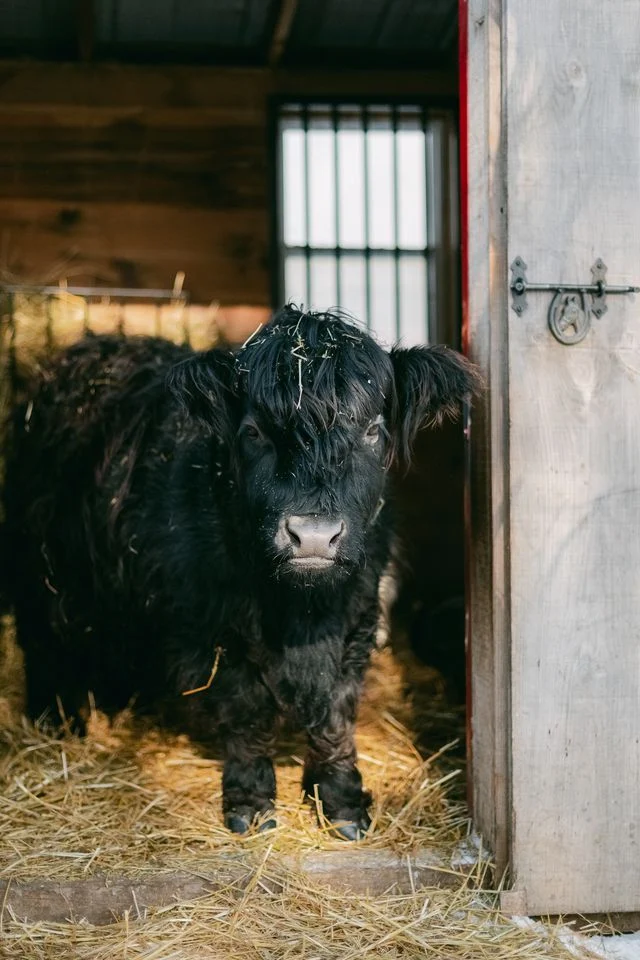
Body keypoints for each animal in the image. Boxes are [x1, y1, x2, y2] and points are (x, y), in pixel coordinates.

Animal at [1, 306, 479, 839]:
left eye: (373, 430)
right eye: (253, 433)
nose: (314, 535)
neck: (301, 614)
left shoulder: (357, 618)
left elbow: (336, 715)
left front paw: (343, 803)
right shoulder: (211, 629)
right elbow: (244, 711)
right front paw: (250, 804)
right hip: (39, 571)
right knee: (44, 644)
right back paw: (58, 723)